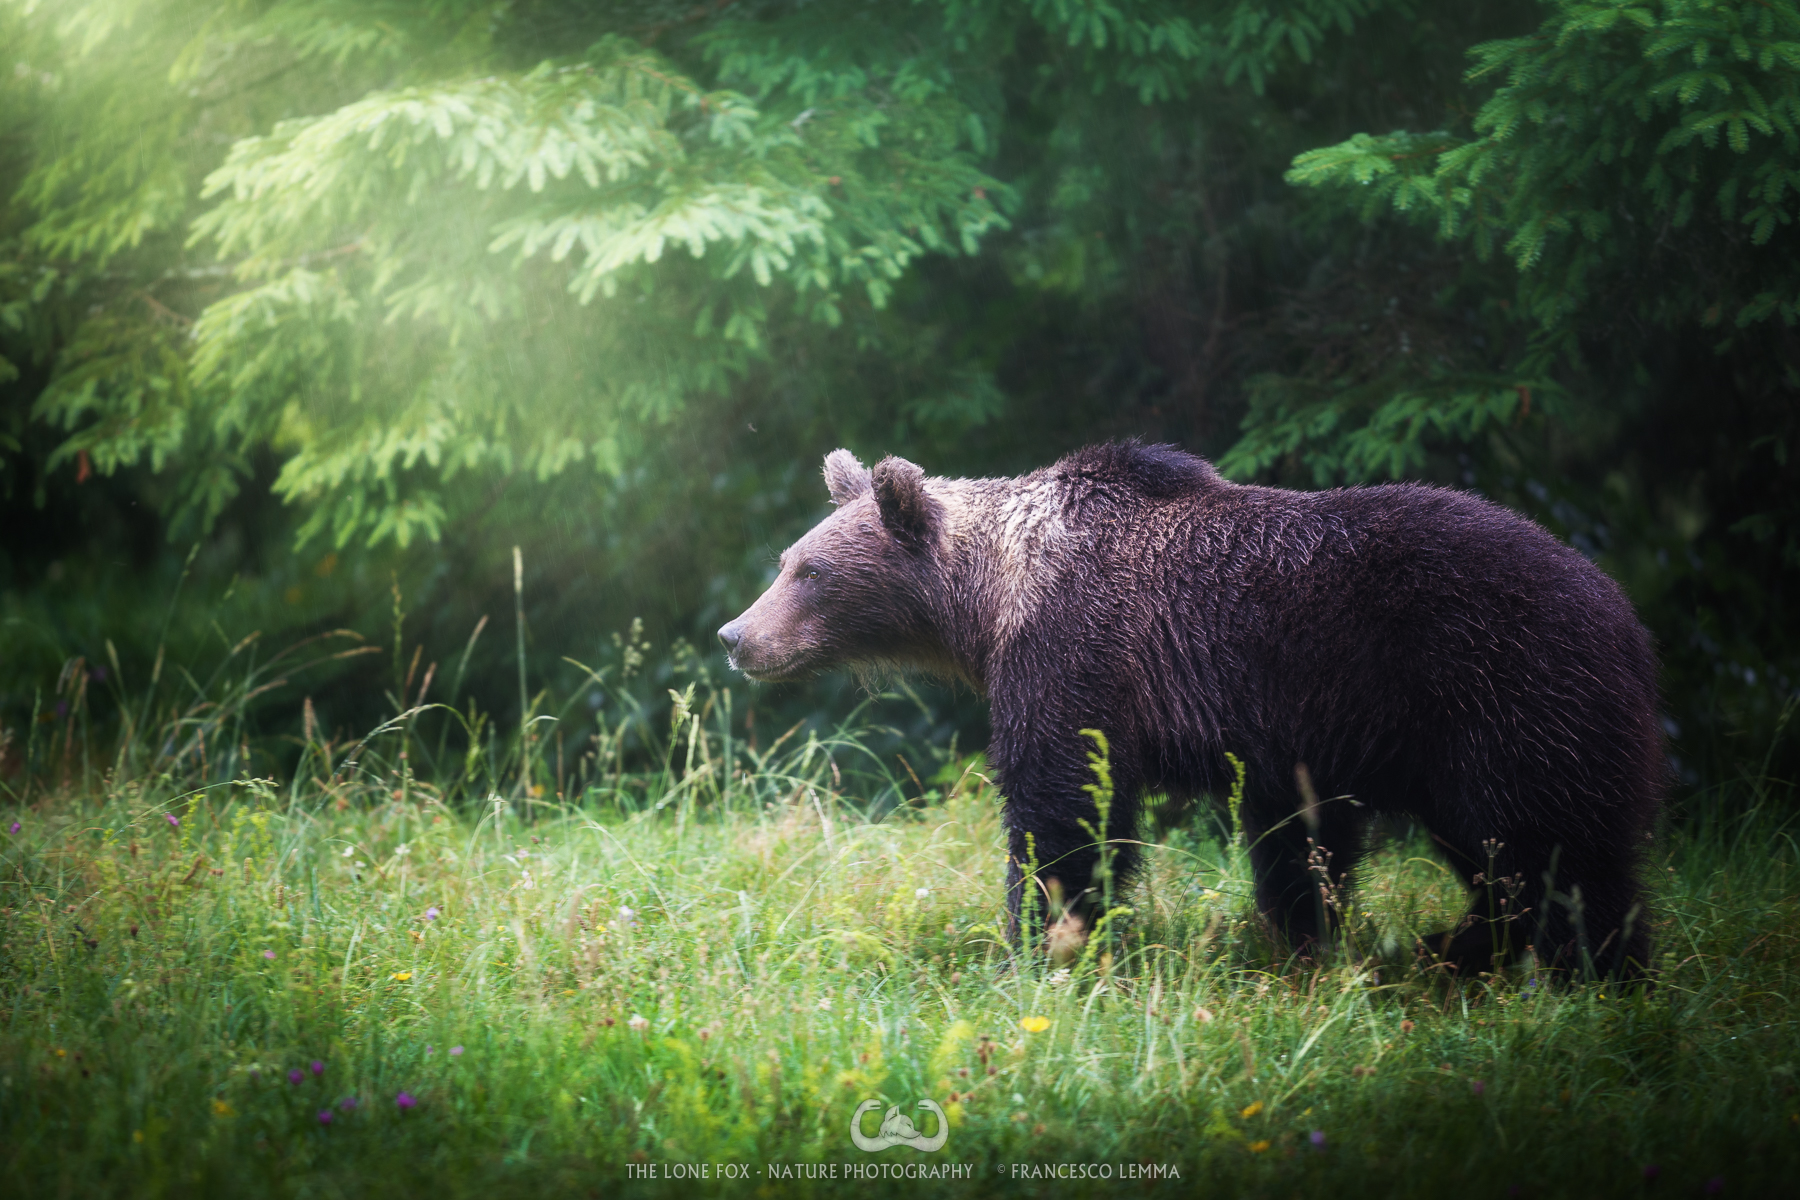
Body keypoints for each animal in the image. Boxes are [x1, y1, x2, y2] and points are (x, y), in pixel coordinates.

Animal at [719, 442, 1662, 978]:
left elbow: (1062, 808)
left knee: (1552, 852)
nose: (737, 635)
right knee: (1508, 859)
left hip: (1502, 691)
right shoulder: (1292, 735)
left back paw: (1589, 968)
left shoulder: (1078, 652)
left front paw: (1037, 942)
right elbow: (1299, 843)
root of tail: (1624, 613)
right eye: (788, 559)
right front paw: (1301, 940)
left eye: (809, 572)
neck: (991, 603)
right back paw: (1462, 950)